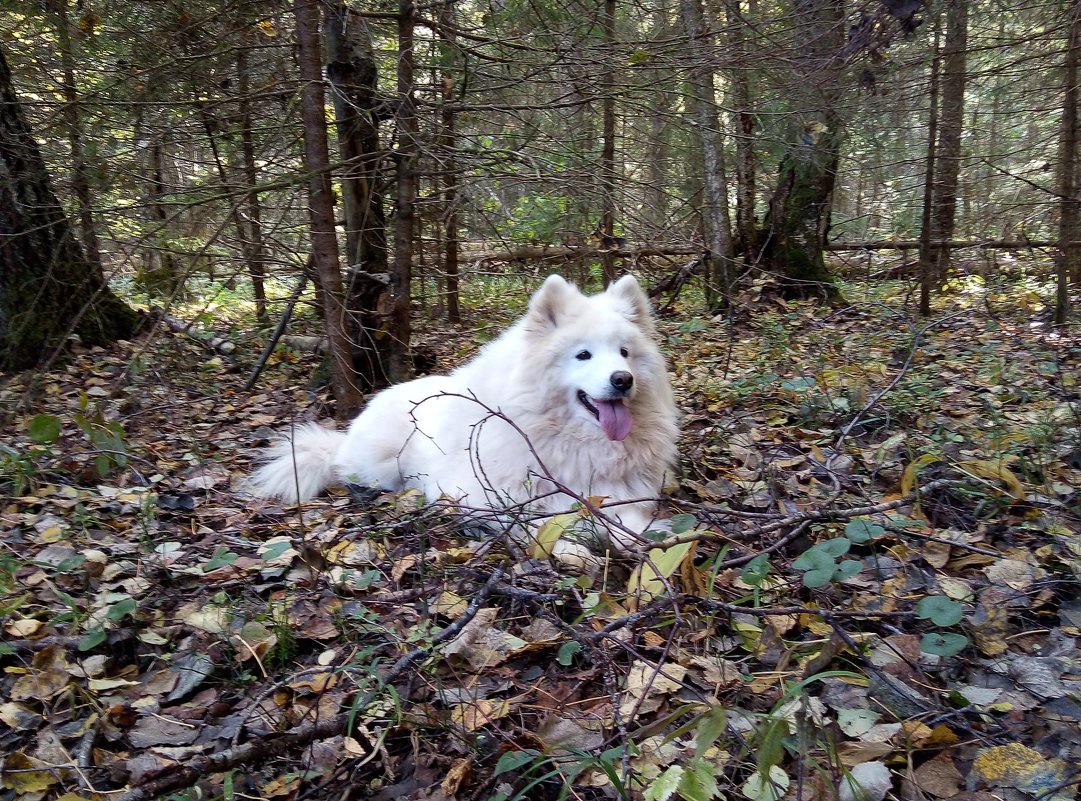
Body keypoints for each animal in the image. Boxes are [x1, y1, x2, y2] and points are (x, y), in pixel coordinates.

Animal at [248, 274, 678, 557]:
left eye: (624, 353)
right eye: (583, 355)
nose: (623, 379)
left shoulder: (621, 494)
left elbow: (629, 524)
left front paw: (647, 541)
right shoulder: (480, 497)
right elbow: (538, 525)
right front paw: (575, 550)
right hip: (381, 467)